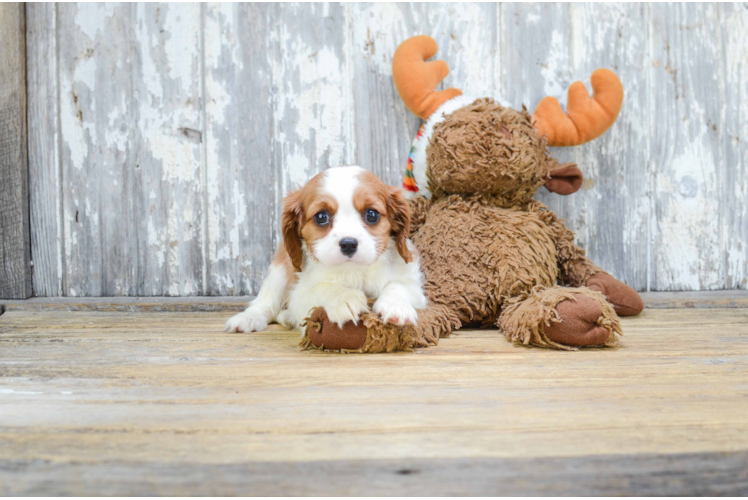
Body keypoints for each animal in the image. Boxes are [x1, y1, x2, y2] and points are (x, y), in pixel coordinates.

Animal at [224, 166, 426, 334]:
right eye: (321, 217)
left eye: (372, 214)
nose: (348, 244)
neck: (354, 270)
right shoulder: (300, 295)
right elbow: (322, 288)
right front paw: (344, 298)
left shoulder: (415, 288)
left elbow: (398, 285)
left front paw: (396, 306)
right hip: (280, 271)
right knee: (266, 303)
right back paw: (249, 318)